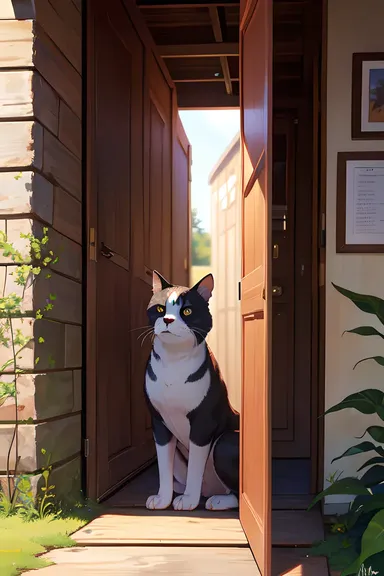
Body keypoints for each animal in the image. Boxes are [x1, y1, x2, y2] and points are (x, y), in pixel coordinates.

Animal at [145, 272, 240, 512]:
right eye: (160, 308)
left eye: (187, 311)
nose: (168, 320)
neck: (174, 360)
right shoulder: (159, 422)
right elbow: (164, 466)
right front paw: (163, 499)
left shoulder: (202, 423)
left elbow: (196, 465)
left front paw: (188, 500)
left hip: (226, 441)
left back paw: (217, 500)